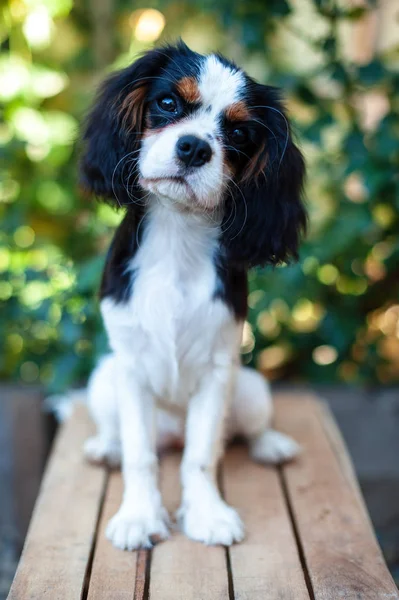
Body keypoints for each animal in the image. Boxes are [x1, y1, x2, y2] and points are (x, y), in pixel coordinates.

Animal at [79, 39, 308, 552]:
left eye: (239, 131)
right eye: (167, 103)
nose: (194, 147)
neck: (177, 235)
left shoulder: (217, 371)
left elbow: (201, 456)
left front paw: (207, 514)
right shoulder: (131, 370)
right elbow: (140, 455)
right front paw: (139, 517)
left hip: (251, 388)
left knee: (244, 430)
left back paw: (271, 445)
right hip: (104, 380)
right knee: (121, 433)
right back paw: (105, 447)